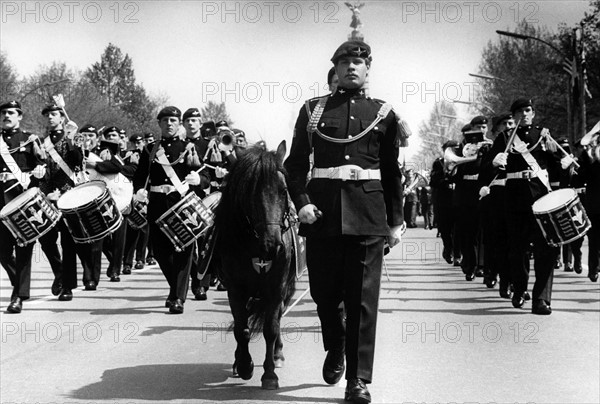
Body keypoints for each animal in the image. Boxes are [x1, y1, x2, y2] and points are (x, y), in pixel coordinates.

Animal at [213, 140, 298, 390]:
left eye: (283, 190)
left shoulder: (277, 289)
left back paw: (277, 355)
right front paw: (244, 365)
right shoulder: (235, 290)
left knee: (277, 318)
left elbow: (271, 329)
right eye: (250, 192)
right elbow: (242, 329)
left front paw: (269, 374)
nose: (272, 245)